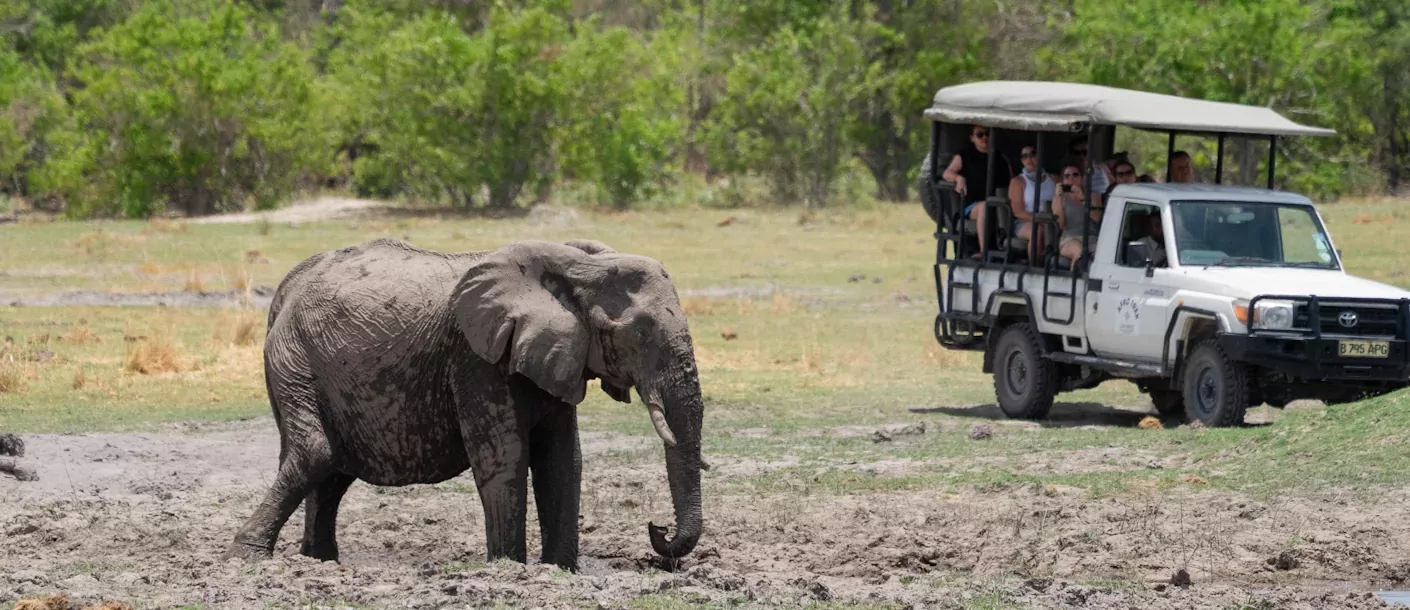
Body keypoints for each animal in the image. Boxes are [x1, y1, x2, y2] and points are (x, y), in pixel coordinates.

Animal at [227, 235, 710, 569]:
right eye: (640, 332)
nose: (657, 528)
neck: (576, 266)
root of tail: (286, 289)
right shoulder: (477, 359)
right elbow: (505, 457)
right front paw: (508, 567)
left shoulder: (554, 353)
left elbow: (563, 460)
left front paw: (560, 570)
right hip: (293, 359)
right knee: (315, 453)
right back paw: (246, 556)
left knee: (333, 469)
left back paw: (320, 561)